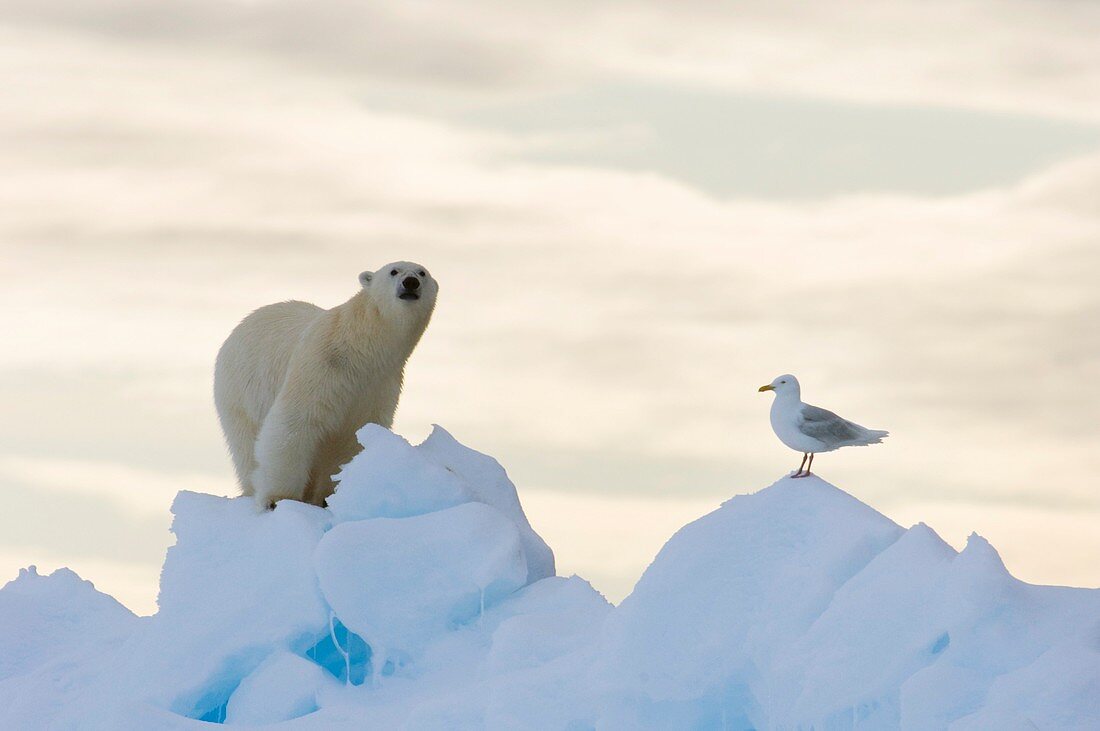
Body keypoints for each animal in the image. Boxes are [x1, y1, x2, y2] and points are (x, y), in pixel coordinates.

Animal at [214, 262, 437, 507]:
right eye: (394, 271)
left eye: (422, 273)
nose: (411, 282)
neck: (360, 349)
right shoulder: (321, 365)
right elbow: (293, 423)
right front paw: (278, 499)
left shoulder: (378, 385)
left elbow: (350, 439)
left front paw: (326, 498)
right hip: (239, 390)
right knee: (245, 443)